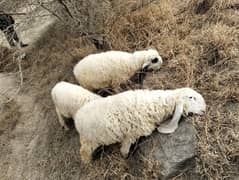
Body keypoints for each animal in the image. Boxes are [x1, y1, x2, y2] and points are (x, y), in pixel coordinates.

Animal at [73, 87, 205, 163]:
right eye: (191, 97)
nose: (205, 108)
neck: (155, 105)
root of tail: (78, 117)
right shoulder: (131, 134)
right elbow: (125, 149)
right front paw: (125, 156)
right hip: (91, 139)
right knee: (83, 151)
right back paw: (88, 162)